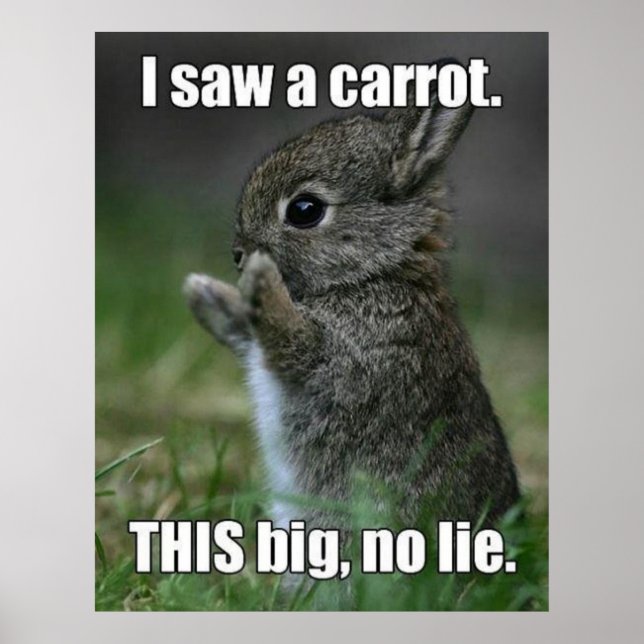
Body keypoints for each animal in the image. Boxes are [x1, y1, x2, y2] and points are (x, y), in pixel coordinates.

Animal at [183, 69, 520, 533]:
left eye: (304, 209)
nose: (239, 254)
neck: (373, 274)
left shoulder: (346, 358)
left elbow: (290, 340)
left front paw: (260, 278)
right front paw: (203, 291)